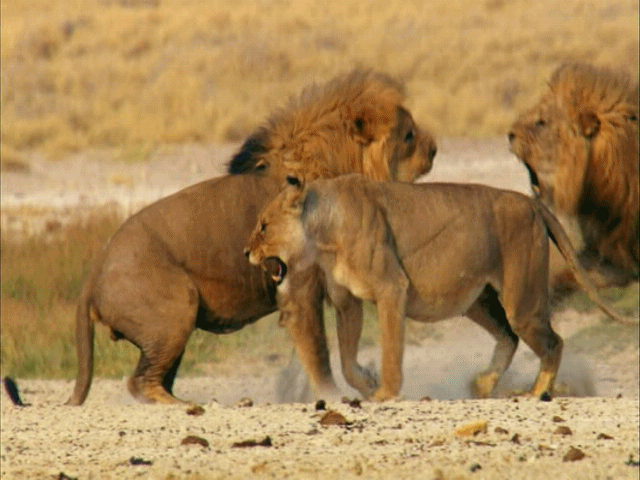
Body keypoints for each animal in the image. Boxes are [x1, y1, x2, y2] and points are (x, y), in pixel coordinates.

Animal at [67, 68, 438, 404]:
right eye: (409, 136)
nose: (434, 149)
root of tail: (93, 275)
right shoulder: (300, 289)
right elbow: (319, 354)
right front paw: (334, 397)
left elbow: (344, 354)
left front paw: (368, 385)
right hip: (176, 308)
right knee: (141, 382)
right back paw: (189, 406)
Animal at [246, 173, 632, 402]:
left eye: (264, 226)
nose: (246, 252)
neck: (323, 234)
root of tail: (531, 201)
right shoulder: (347, 302)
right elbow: (346, 360)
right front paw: (367, 383)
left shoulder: (391, 287)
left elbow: (390, 348)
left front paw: (385, 392)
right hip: (476, 300)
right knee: (508, 336)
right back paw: (483, 385)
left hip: (520, 300)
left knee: (552, 341)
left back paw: (536, 392)